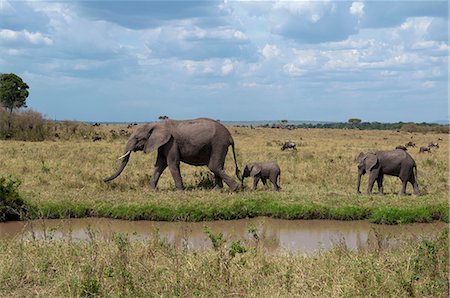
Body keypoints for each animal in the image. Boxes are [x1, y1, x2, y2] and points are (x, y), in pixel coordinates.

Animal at [104, 118, 241, 191]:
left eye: (137, 138)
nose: (104, 179)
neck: (155, 124)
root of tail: (230, 137)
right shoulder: (162, 144)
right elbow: (159, 164)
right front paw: (152, 190)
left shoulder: (171, 142)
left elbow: (172, 163)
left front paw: (180, 191)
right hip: (219, 146)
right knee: (218, 166)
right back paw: (217, 191)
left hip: (219, 143)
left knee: (213, 166)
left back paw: (233, 189)